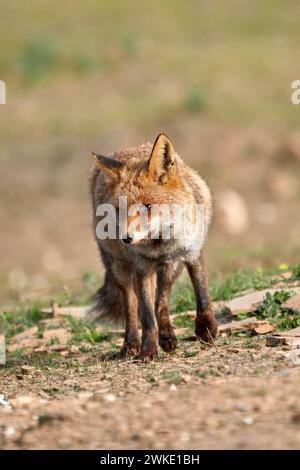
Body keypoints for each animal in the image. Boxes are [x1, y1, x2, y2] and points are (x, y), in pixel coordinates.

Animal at [88, 134, 217, 362]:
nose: (126, 238)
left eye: (148, 206)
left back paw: (167, 336)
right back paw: (131, 343)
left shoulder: (191, 253)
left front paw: (206, 330)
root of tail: (128, 148)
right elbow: (147, 317)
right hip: (120, 268)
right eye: (120, 209)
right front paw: (147, 350)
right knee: (132, 306)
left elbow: (202, 298)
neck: (160, 245)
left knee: (161, 299)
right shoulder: (142, 267)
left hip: (171, 268)